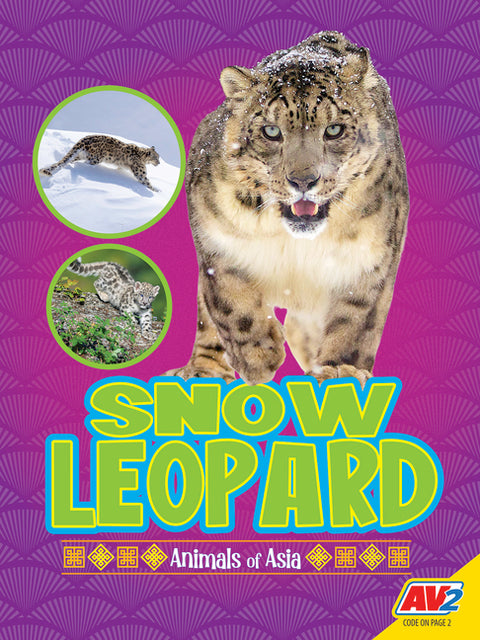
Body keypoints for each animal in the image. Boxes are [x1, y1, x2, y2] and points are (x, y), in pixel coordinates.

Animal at [167, 31, 409, 387]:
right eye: (271, 131)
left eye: (334, 129)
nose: (303, 180)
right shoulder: (214, 237)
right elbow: (229, 301)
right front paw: (259, 356)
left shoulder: (370, 258)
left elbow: (356, 320)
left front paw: (341, 371)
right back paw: (201, 373)